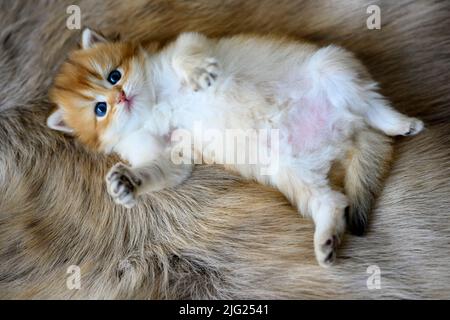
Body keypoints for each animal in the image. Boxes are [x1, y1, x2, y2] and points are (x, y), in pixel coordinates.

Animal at [47, 28, 424, 266]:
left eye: (114, 75)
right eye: (100, 109)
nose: (121, 97)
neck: (154, 103)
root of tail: (344, 131)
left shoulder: (183, 45)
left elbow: (186, 54)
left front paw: (198, 74)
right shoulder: (164, 153)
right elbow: (162, 170)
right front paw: (126, 184)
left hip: (330, 65)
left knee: (370, 104)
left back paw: (400, 122)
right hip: (289, 170)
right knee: (331, 201)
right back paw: (326, 240)